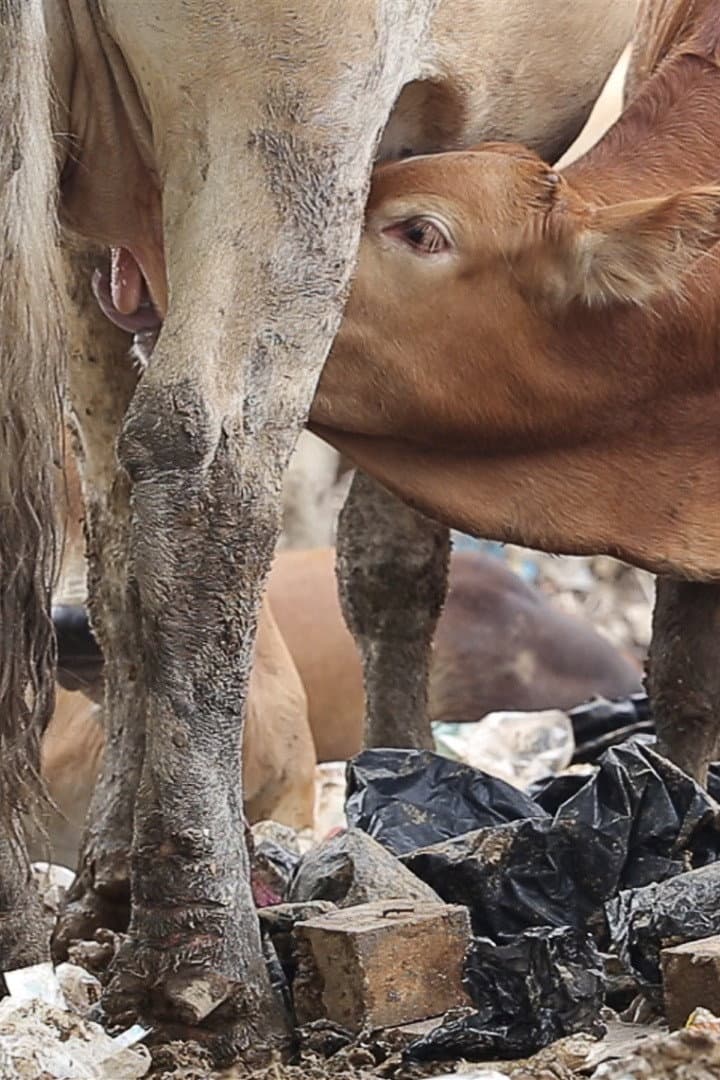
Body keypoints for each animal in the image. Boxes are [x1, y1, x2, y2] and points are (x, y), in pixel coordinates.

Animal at [1, 0, 636, 1058]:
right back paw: (204, 964)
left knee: (107, 516)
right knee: (205, 471)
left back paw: (75, 905)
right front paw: (412, 788)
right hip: (289, 115)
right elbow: (400, 544)